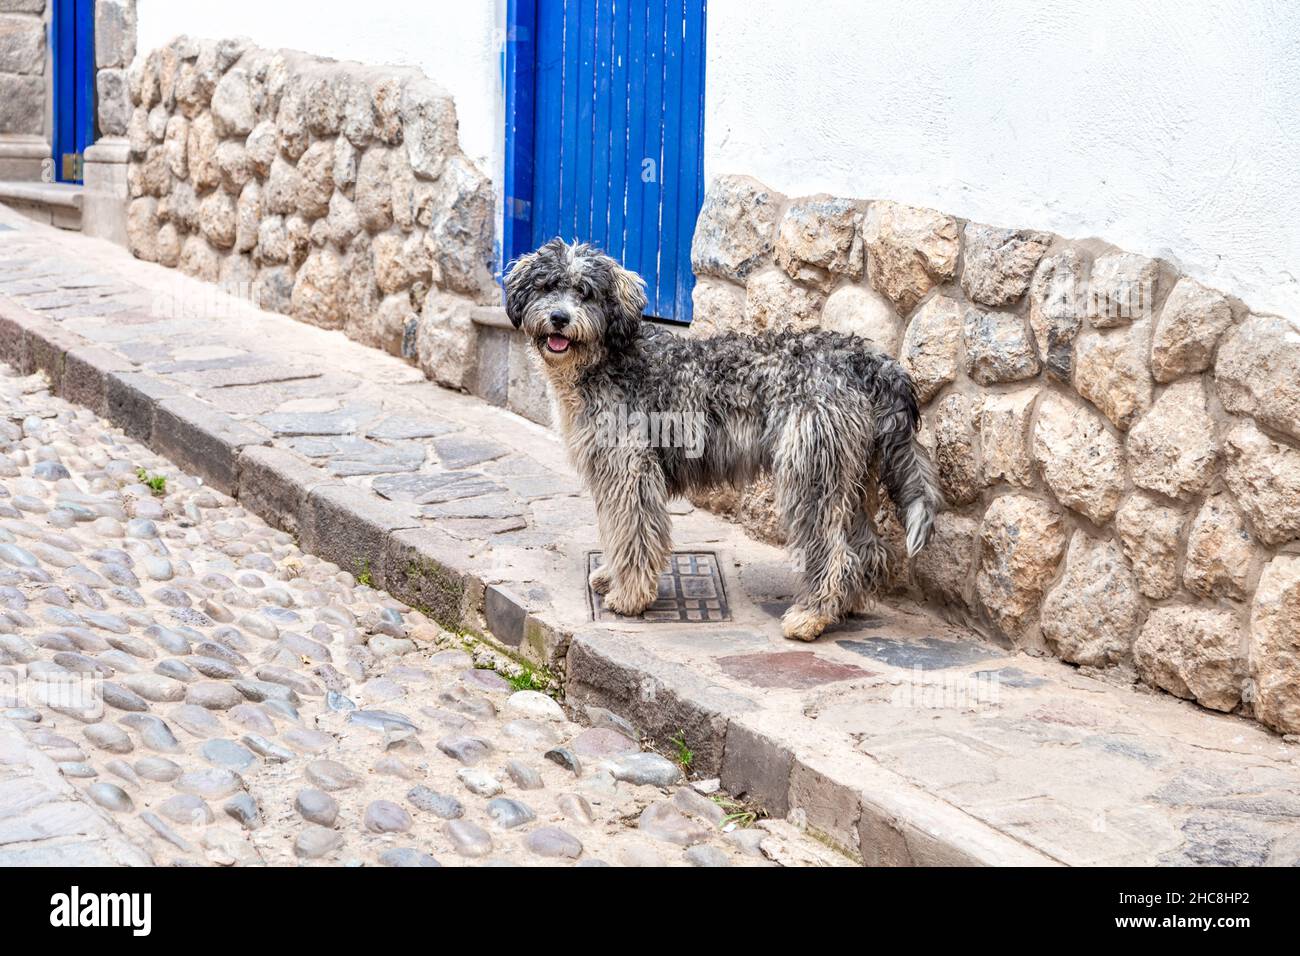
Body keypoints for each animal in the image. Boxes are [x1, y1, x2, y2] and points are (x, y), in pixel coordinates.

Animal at [501, 239, 941, 642]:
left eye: (585, 292)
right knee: (864, 549)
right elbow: (614, 531)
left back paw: (811, 617)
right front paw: (611, 575)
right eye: (547, 286)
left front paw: (629, 597)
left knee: (832, 552)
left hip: (809, 474)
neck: (609, 356)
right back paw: (842, 607)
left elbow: (634, 534)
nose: (559, 318)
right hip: (849, 476)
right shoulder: (609, 474)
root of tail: (865, 359)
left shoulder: (632, 472)